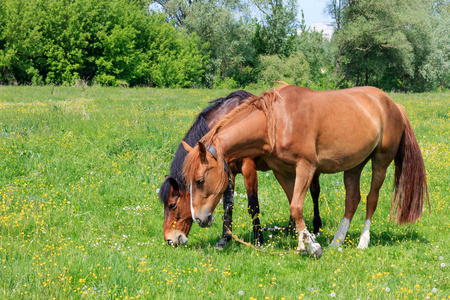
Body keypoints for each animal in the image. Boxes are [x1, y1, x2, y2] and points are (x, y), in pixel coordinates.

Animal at [160, 90, 326, 247]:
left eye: (172, 205)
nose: (170, 240)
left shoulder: (248, 168)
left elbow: (253, 205)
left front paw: (258, 239)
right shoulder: (228, 172)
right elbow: (228, 205)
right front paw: (224, 239)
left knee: (314, 192)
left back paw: (316, 227)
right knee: (292, 194)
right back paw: (291, 229)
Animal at [181, 84, 428, 258]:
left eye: (200, 180)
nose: (200, 218)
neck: (276, 122)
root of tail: (393, 104)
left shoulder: (306, 166)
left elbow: (296, 207)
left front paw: (312, 246)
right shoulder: (283, 171)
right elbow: (294, 205)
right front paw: (303, 242)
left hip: (381, 161)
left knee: (371, 198)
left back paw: (362, 241)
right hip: (354, 164)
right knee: (352, 199)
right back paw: (337, 240)